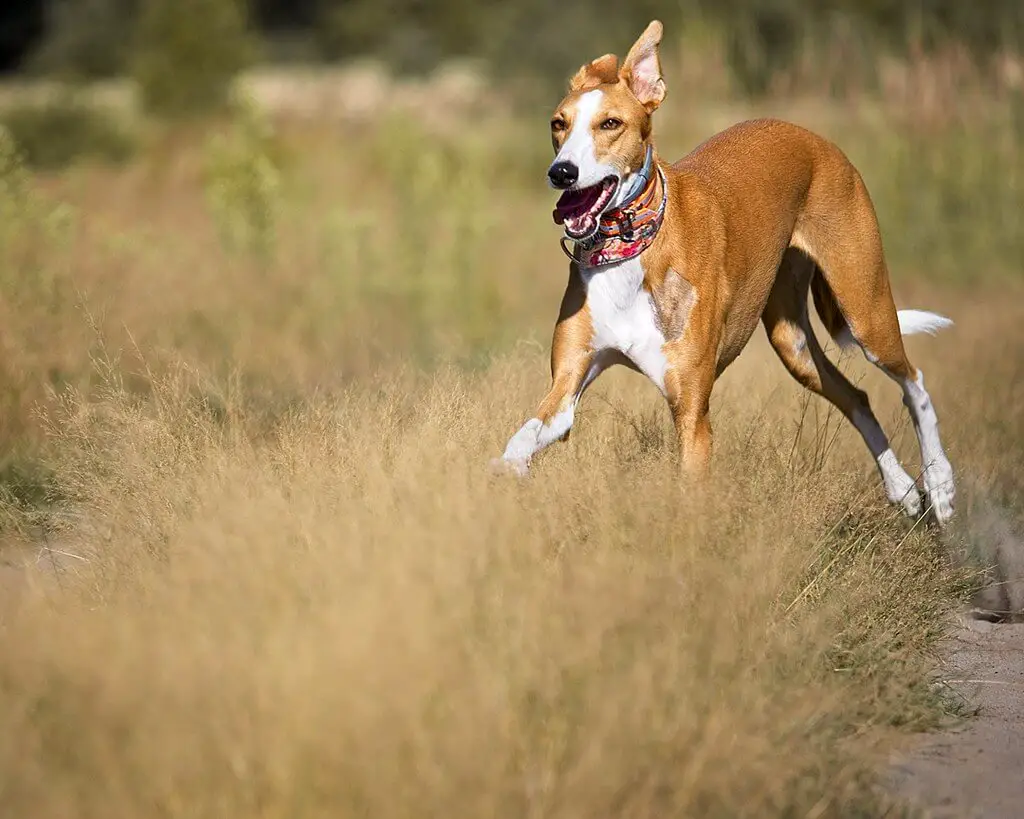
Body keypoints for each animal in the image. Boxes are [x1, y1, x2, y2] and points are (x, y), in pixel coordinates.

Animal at [491, 22, 954, 528]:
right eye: (558, 123)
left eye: (610, 124)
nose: (562, 173)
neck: (634, 249)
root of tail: (813, 137)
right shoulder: (569, 382)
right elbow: (527, 437)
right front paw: (502, 477)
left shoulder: (692, 411)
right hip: (793, 344)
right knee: (857, 397)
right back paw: (902, 488)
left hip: (864, 307)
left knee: (914, 382)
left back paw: (940, 486)